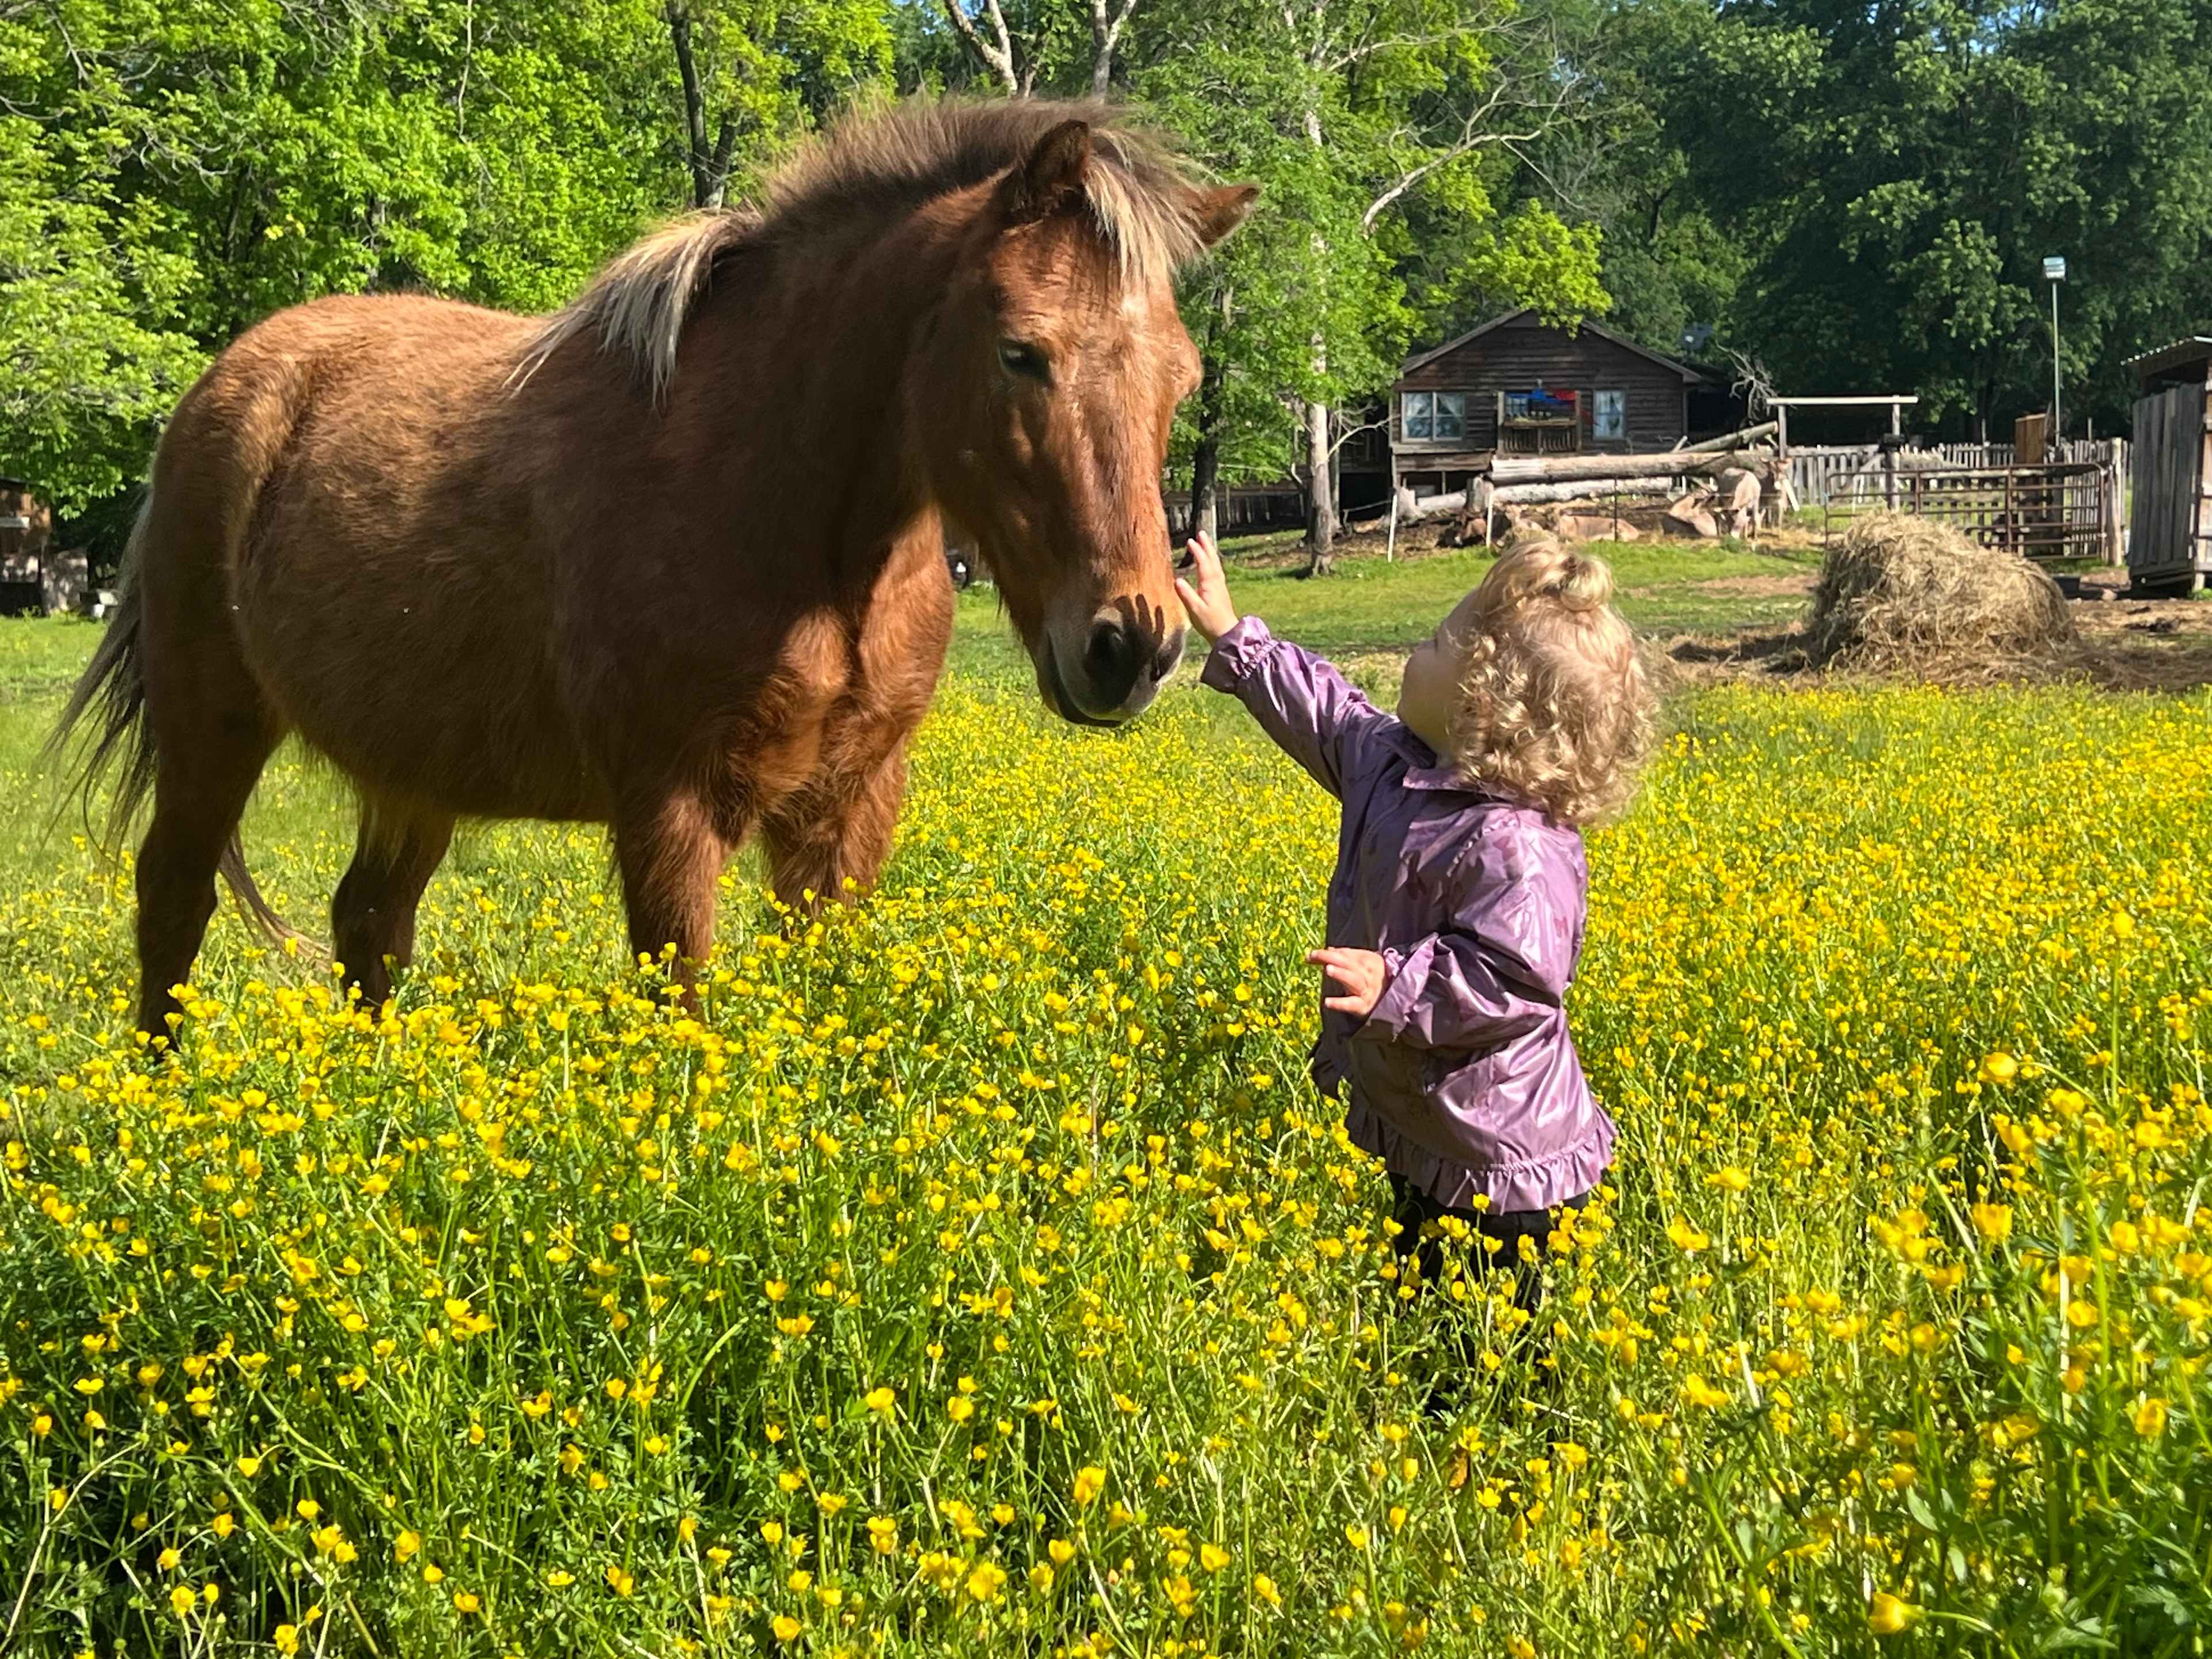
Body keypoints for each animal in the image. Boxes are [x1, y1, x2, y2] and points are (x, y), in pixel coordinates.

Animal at [51, 99, 1257, 1036]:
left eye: (1184, 378)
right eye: (1021, 353)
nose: (1130, 646)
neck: (792, 519)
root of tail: (228, 385)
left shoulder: (846, 813)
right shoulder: (673, 812)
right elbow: (681, 1010)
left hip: (415, 771)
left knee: (370, 924)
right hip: (215, 729)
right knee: (174, 904)